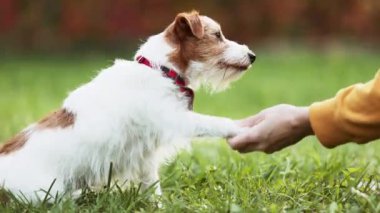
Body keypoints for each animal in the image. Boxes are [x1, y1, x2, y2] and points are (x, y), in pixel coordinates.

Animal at [0, 11, 255, 201]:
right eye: (218, 35)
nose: (252, 55)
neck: (161, 71)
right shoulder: (175, 119)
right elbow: (214, 122)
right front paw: (241, 128)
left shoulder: (146, 155)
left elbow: (152, 185)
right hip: (45, 194)